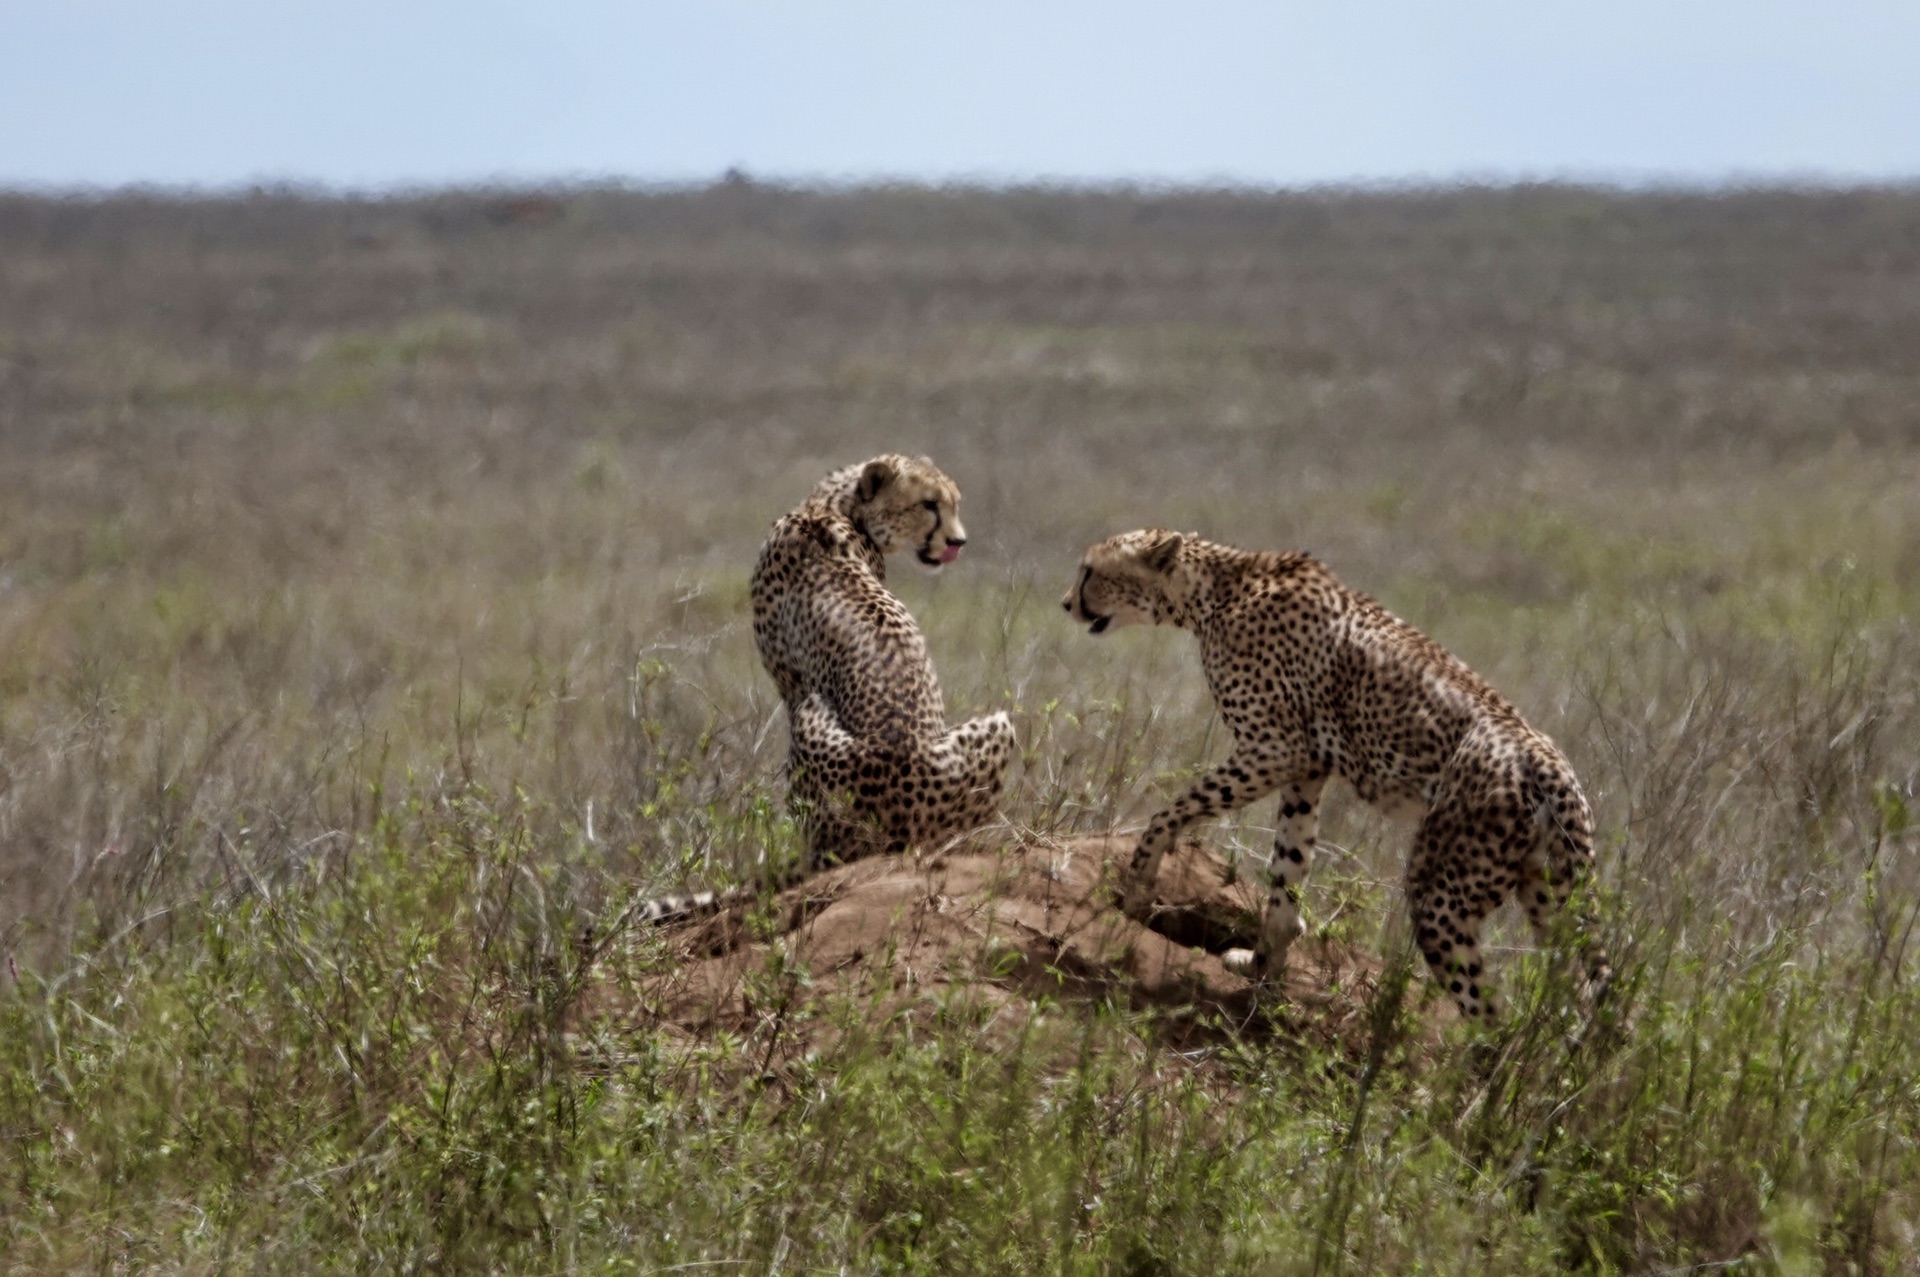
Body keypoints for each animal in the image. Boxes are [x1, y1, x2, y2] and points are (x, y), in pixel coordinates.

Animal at [1067, 526, 1605, 1013]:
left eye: (1089, 571)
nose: (1066, 603)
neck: (1212, 590)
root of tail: (1545, 756)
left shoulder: (1274, 749)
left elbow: (1172, 812)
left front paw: (1138, 883)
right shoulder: (1306, 768)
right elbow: (1287, 868)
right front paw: (1263, 969)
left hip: (1441, 893)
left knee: (1488, 1010)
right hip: (1547, 890)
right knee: (1570, 997)